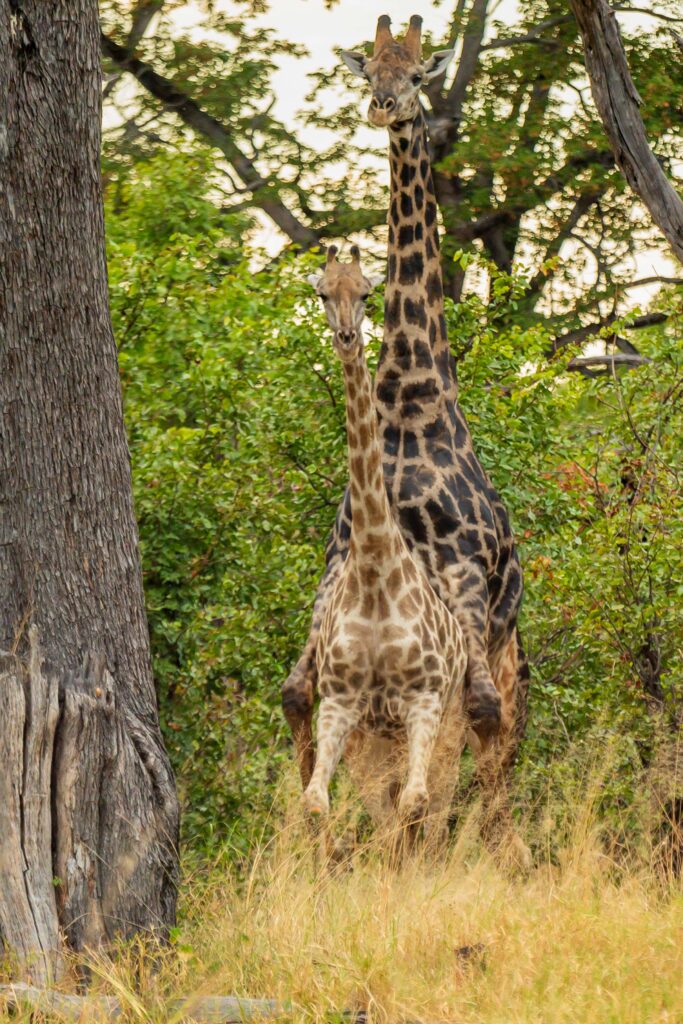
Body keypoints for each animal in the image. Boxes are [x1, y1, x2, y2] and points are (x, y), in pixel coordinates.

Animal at [303, 245, 468, 842]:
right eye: (322, 293)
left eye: (368, 293)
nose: (348, 337)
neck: (374, 566)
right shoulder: (340, 701)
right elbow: (316, 804)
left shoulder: (423, 698)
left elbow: (415, 803)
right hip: (376, 739)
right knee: (389, 803)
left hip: (447, 721)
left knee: (434, 802)